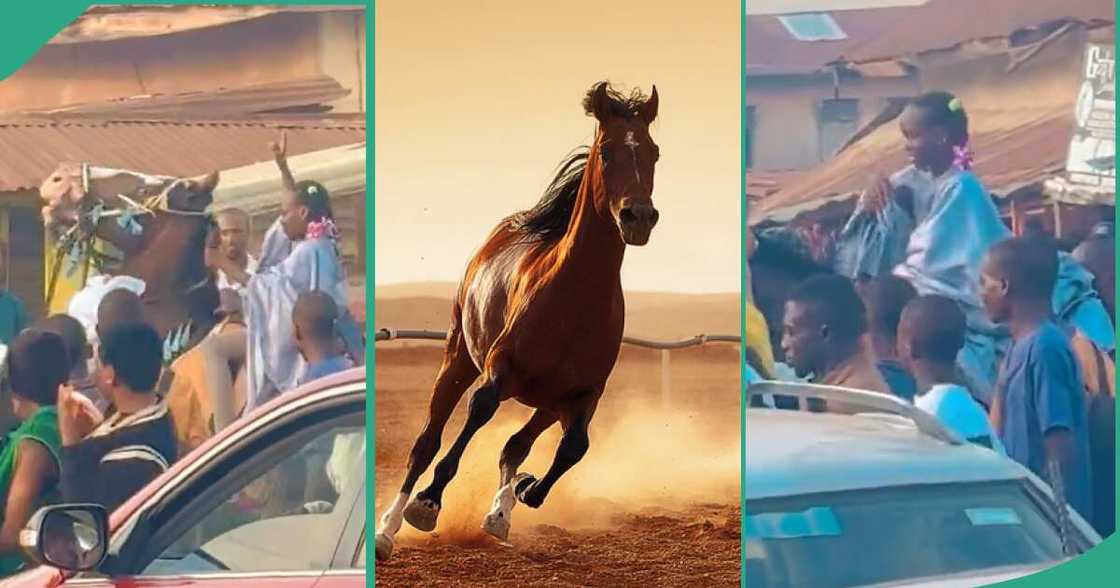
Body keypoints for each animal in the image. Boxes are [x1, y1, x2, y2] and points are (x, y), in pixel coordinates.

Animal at [376, 82, 654, 560]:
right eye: (607, 151)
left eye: (653, 152)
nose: (638, 217)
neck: (575, 299)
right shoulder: (499, 371)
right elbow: (477, 414)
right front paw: (427, 504)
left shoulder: (582, 395)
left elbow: (571, 448)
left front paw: (522, 493)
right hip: (458, 358)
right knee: (427, 442)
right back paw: (388, 528)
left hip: (545, 400)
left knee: (516, 446)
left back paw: (501, 510)